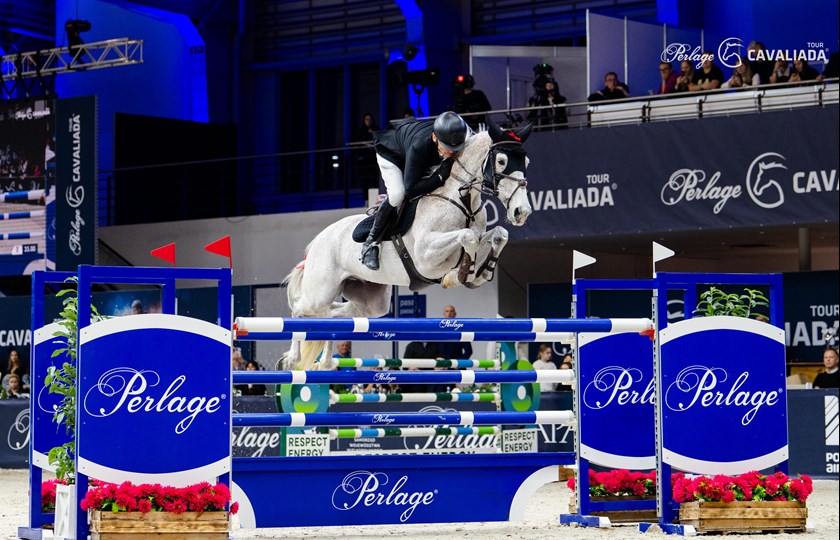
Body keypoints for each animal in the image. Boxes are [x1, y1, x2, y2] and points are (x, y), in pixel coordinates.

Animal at [280, 115, 533, 370]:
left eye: (527, 161)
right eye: (501, 161)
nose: (522, 212)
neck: (462, 201)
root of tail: (316, 242)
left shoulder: (480, 238)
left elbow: (500, 234)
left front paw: (480, 272)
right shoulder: (426, 257)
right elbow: (466, 237)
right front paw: (460, 274)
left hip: (371, 302)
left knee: (332, 317)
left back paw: (325, 362)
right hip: (320, 292)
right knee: (300, 309)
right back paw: (293, 359)